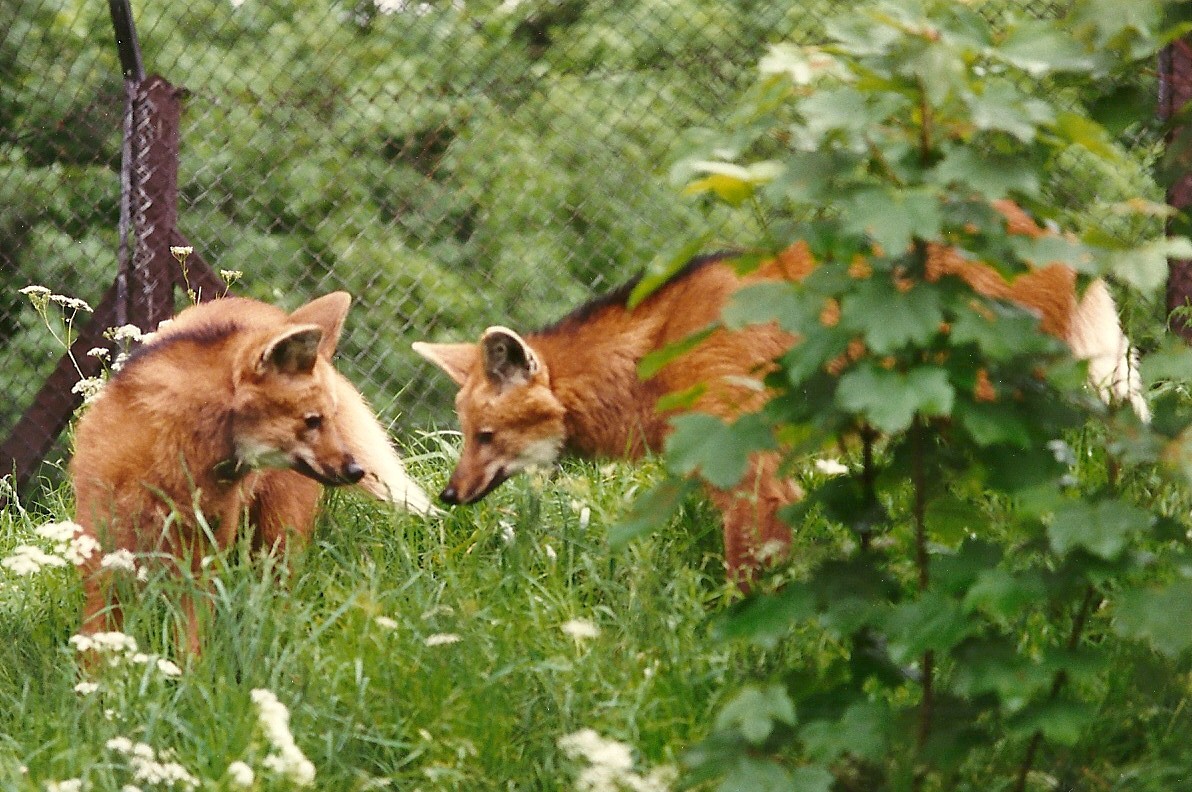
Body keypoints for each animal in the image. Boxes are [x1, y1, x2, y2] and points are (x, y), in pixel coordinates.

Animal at [71, 291, 432, 654]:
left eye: (329, 417)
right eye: (312, 421)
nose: (356, 469)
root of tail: (266, 310)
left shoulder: (201, 562)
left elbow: (190, 642)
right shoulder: (105, 556)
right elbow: (97, 642)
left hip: (277, 538)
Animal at [413, 203, 1145, 579]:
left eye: (486, 435)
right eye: (467, 435)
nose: (447, 495)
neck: (648, 354)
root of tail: (1052, 231)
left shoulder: (750, 465)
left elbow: (751, 567)